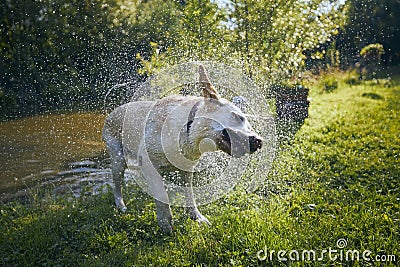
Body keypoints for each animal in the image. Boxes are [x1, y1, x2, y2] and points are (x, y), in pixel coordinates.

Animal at [103, 65, 264, 234]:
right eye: (240, 117)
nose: (260, 141)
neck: (188, 128)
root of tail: (114, 110)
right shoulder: (147, 163)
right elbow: (162, 195)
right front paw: (165, 223)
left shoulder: (186, 170)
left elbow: (189, 195)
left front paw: (197, 217)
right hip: (118, 159)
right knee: (117, 185)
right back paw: (121, 205)